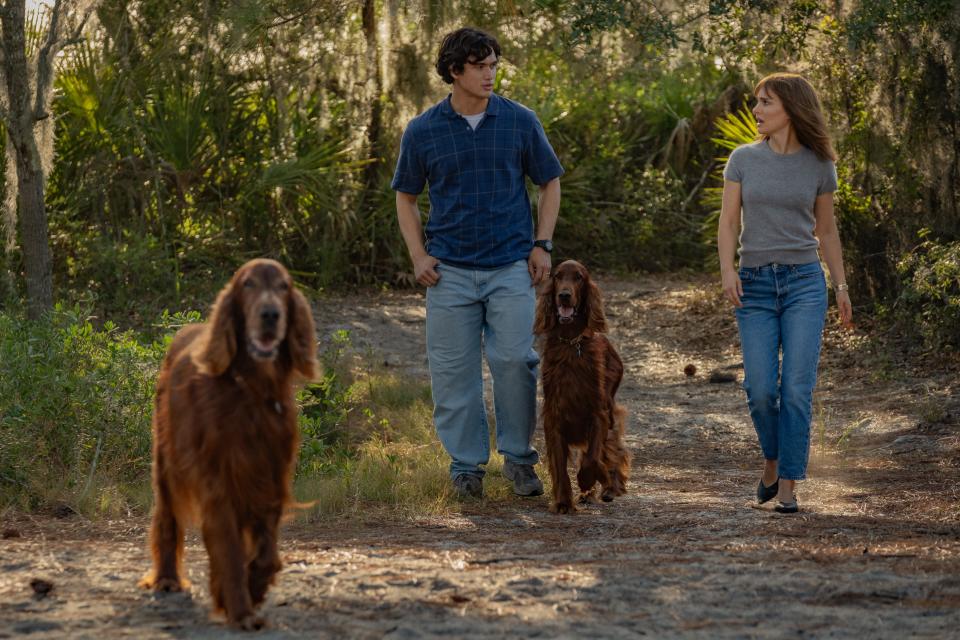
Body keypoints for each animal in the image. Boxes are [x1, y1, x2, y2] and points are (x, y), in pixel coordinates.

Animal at [140, 260, 318, 632]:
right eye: (247, 285)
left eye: (284, 286)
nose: (270, 314)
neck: (250, 388)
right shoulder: (218, 481)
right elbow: (230, 550)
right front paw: (239, 608)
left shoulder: (270, 477)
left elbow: (266, 555)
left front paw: (255, 588)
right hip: (166, 461)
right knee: (167, 518)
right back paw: (166, 578)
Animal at [532, 258, 632, 512]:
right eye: (557, 276)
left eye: (578, 277)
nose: (564, 296)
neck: (570, 343)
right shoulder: (554, 418)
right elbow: (560, 466)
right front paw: (563, 502)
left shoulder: (598, 414)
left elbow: (592, 459)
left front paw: (592, 480)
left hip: (609, 411)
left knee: (613, 450)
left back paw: (610, 486)